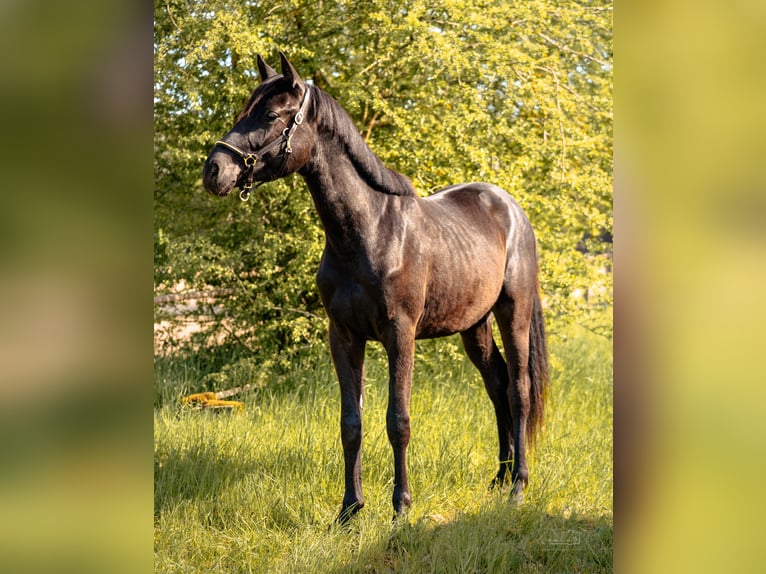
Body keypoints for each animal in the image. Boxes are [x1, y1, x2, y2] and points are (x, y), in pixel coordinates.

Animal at [202, 53, 549, 523]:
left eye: (271, 115)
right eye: (244, 110)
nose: (214, 171)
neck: (368, 233)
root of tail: (510, 208)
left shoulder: (399, 335)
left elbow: (397, 420)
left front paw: (401, 506)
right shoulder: (344, 337)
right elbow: (352, 423)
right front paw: (350, 509)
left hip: (513, 312)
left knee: (518, 391)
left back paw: (517, 487)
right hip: (473, 325)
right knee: (495, 384)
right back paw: (498, 478)